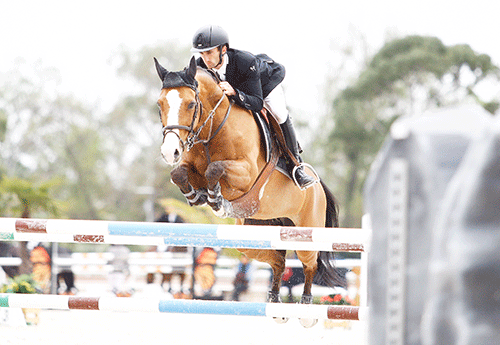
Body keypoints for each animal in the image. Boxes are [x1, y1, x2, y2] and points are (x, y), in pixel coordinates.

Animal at [155, 55, 344, 326]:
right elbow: (179, 174)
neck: (213, 128)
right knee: (278, 261)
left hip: (305, 231)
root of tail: (318, 185)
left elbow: (214, 169)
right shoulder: (190, 167)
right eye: (159, 104)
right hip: (256, 233)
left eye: (191, 104)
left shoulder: (245, 174)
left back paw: (306, 312)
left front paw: (216, 200)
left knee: (310, 265)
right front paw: (196, 196)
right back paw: (275, 305)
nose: (170, 152)